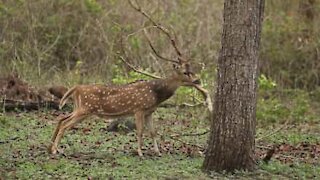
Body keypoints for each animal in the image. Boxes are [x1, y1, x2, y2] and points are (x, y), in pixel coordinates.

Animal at [47, 0, 208, 156]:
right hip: (85, 108)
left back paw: (52, 148)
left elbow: (153, 132)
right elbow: (140, 131)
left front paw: (157, 152)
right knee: (65, 124)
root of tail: (77, 88)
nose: (198, 80)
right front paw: (140, 152)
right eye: (185, 72)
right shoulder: (139, 108)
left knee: (61, 119)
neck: (156, 94)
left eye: (192, 69)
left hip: (79, 107)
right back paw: (55, 150)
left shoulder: (150, 111)